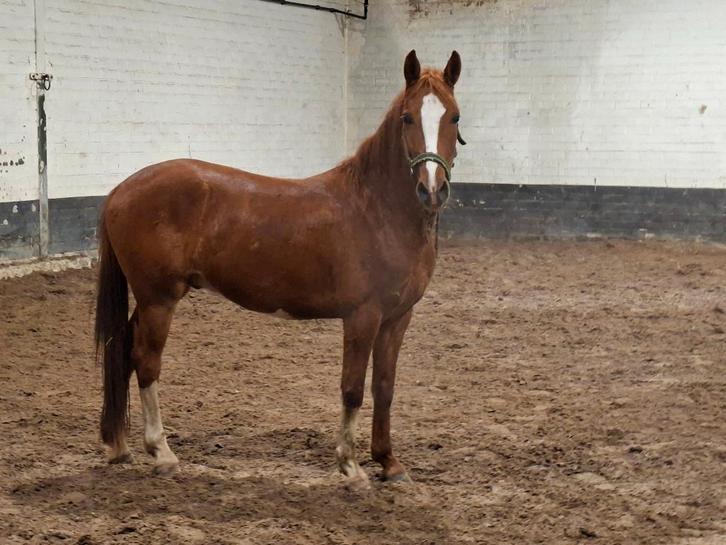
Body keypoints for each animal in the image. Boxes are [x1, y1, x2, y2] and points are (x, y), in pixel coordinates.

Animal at [95, 49, 464, 483]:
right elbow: (353, 387)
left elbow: (384, 387)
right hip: (159, 300)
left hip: (150, 299)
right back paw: (162, 452)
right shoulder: (362, 316)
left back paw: (119, 447)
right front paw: (350, 465)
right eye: (407, 117)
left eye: (454, 117)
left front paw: (388, 462)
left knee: (122, 350)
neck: (378, 209)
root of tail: (121, 190)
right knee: (146, 362)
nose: (432, 190)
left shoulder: (397, 317)